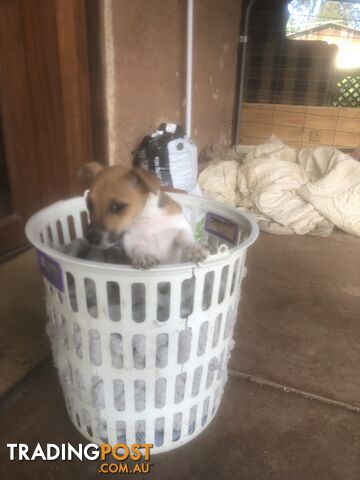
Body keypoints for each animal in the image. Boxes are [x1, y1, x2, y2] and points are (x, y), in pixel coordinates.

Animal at [77, 162, 210, 268]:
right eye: (89, 204)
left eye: (116, 207)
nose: (90, 238)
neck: (146, 216)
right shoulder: (130, 241)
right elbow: (138, 248)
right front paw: (144, 256)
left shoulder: (180, 229)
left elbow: (187, 240)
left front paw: (195, 250)